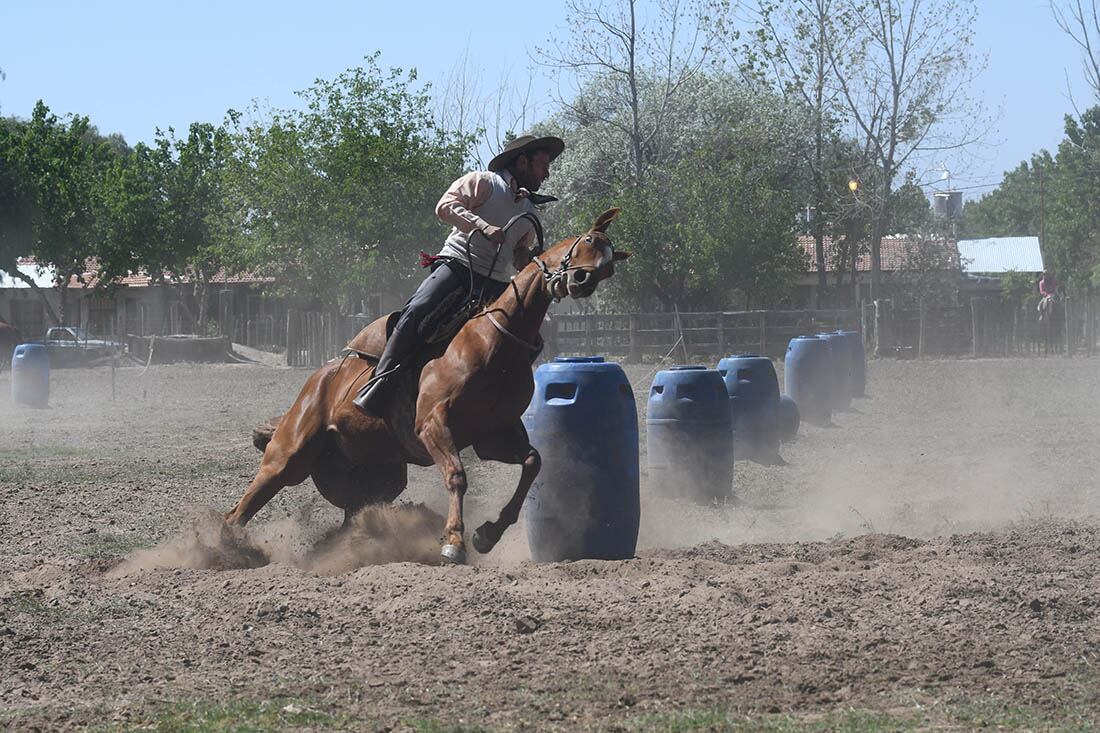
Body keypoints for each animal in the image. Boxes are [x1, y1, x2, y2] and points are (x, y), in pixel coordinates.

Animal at [229, 208, 629, 561]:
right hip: (289, 457)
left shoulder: (493, 436)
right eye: (589, 241)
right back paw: (227, 549)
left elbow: (532, 463)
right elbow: (456, 476)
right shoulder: (433, 425)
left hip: (373, 478)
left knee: (350, 517)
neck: (493, 343)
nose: (583, 281)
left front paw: (487, 534)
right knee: (241, 509)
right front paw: (454, 541)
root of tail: (319, 379)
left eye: (610, 266)